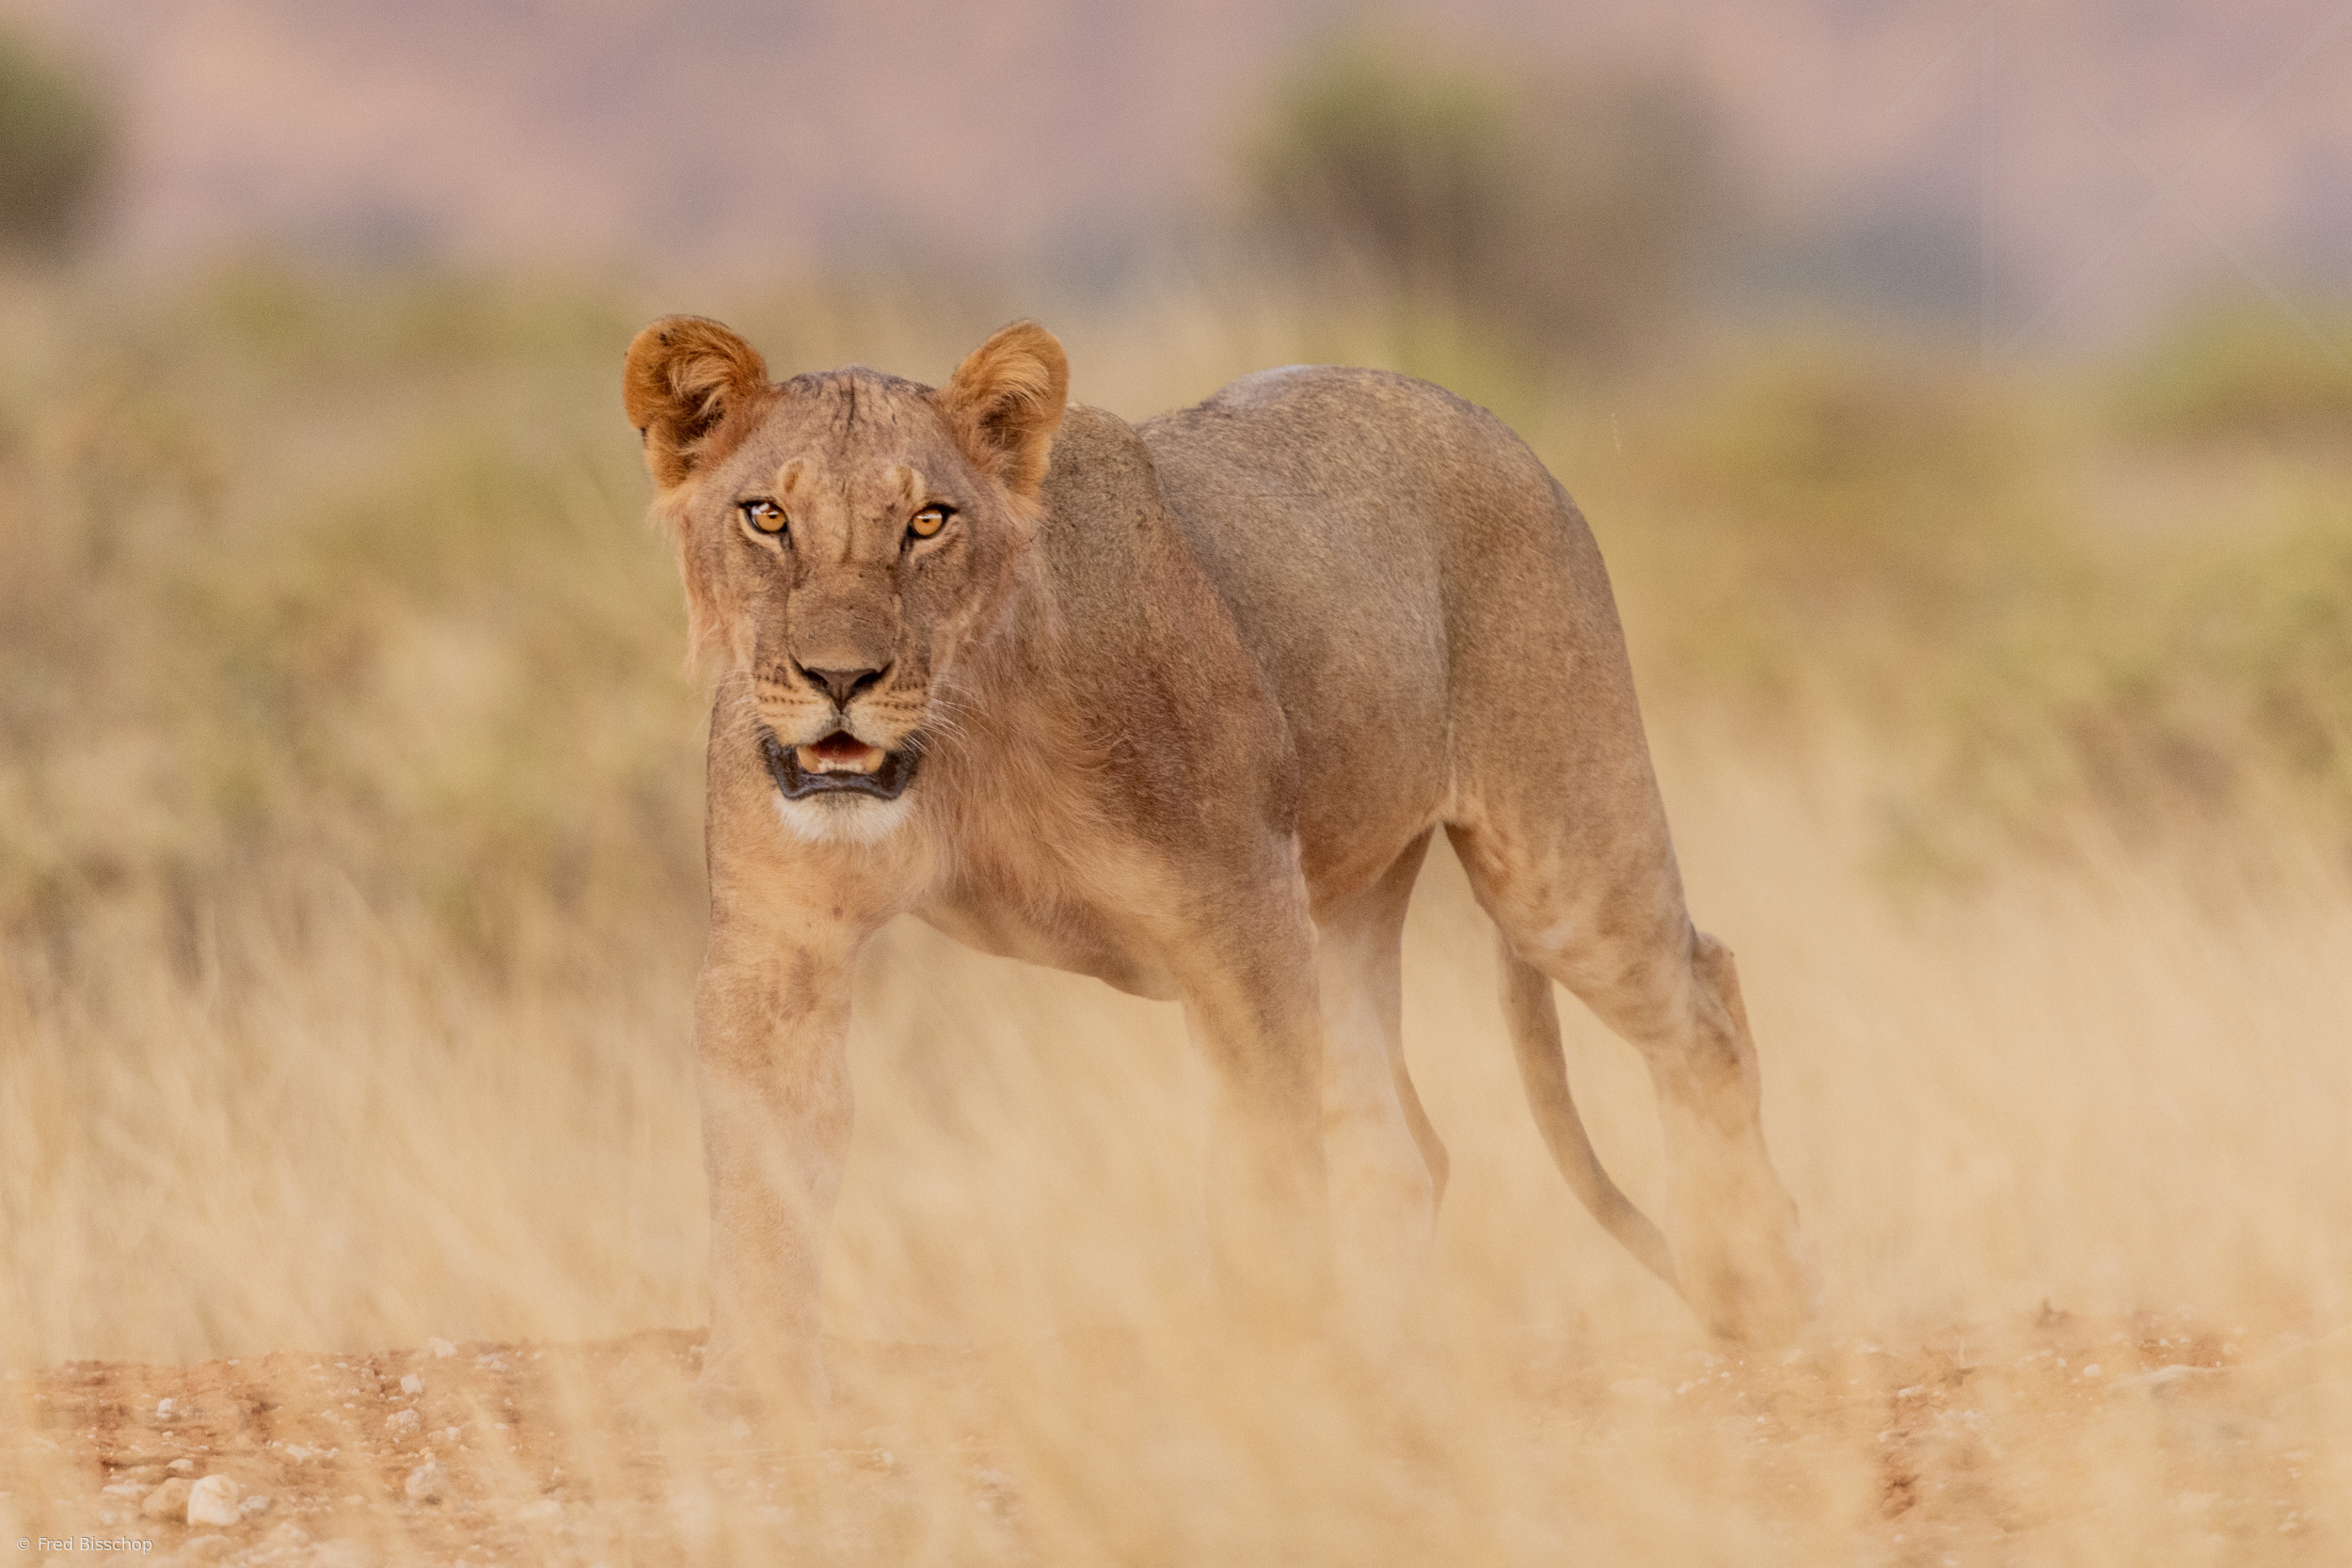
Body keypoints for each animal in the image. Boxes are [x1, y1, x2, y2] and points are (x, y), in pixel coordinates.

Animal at [622, 315, 1818, 1405]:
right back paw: (1374, 1359)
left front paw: (1271, 1369)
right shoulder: (782, 942)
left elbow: (1262, 1175)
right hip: (1342, 912)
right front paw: (757, 1388)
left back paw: (1752, 1285)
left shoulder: (1238, 920)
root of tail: (1475, 414)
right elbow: (767, 1177)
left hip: (1557, 860)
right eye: (766, 516)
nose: (839, 677)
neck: (964, 743)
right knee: (1400, 1150)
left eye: (927, 521)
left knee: (1702, 997)